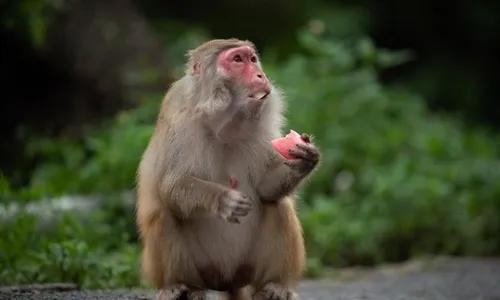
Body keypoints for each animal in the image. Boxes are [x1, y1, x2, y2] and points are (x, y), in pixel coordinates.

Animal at [135, 38, 320, 300]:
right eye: (237, 60)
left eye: (252, 59)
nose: (261, 75)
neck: (223, 125)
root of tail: (228, 280)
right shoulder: (180, 122)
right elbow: (171, 185)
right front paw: (222, 199)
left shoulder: (262, 131)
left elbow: (265, 188)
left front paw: (304, 160)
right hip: (203, 269)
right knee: (165, 215)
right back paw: (179, 287)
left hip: (247, 267)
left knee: (278, 205)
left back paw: (275, 285)